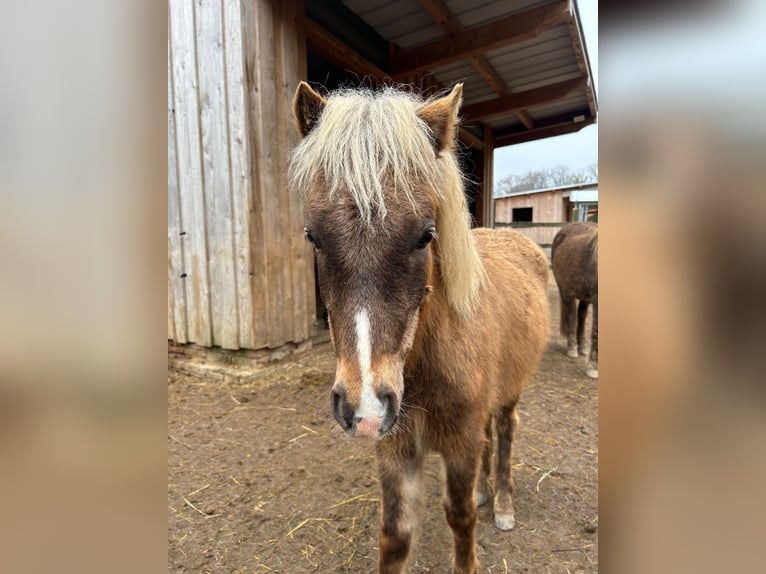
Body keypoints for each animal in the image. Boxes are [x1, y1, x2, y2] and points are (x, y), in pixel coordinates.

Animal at [289, 82, 549, 574]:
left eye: (425, 235)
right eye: (314, 236)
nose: (365, 409)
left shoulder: (460, 444)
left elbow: (460, 518)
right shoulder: (396, 450)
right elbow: (395, 536)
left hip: (511, 394)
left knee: (505, 432)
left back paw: (503, 505)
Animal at [551, 222, 598, 379]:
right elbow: (596, 332)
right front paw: (593, 368)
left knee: (581, 316)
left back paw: (582, 347)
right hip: (566, 292)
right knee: (571, 315)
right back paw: (572, 348)